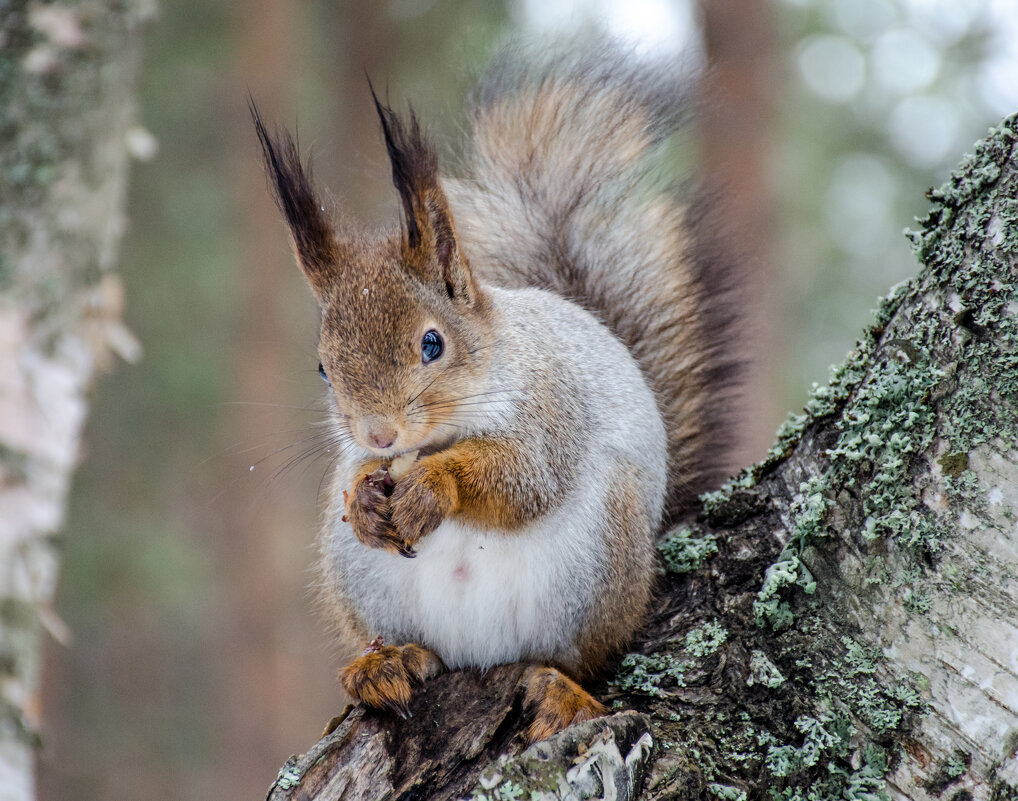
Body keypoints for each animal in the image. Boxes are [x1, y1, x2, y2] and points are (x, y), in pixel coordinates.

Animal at [250, 43, 737, 745]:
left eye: (432, 343)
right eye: (321, 368)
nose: (378, 433)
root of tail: (481, 655)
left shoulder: (551, 409)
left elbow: (522, 478)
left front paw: (434, 486)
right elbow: (357, 479)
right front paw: (364, 495)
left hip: (599, 565)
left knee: (580, 656)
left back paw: (563, 692)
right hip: (360, 578)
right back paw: (386, 664)